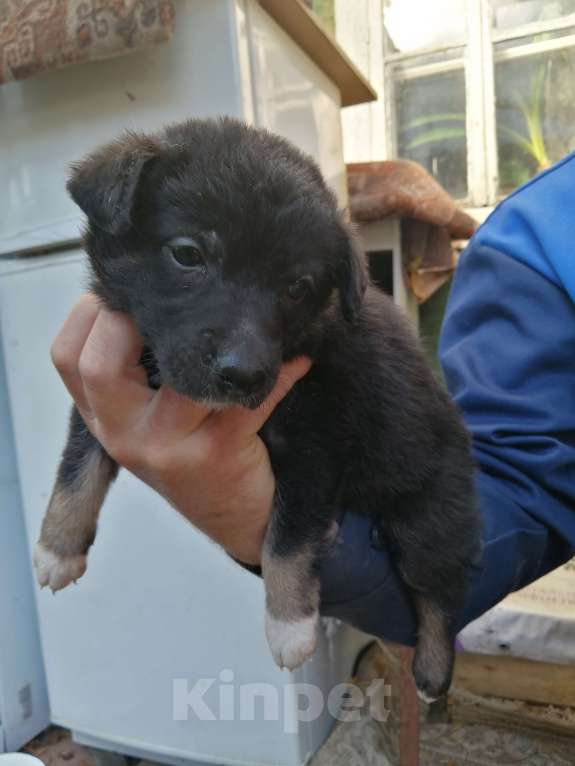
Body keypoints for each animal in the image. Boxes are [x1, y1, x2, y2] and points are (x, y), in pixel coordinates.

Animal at [32, 115, 482, 704]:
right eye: (188, 254)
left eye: (297, 286)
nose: (242, 374)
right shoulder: (101, 395)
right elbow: (76, 467)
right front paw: (57, 547)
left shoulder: (315, 447)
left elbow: (286, 538)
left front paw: (289, 625)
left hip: (430, 516)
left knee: (440, 592)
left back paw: (431, 672)